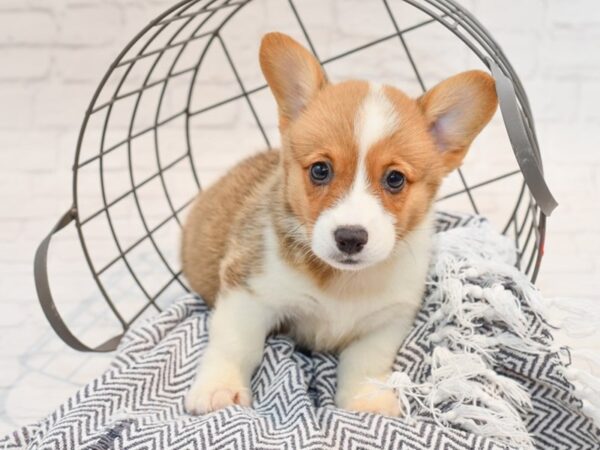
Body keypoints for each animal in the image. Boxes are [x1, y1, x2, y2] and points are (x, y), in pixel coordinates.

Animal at [182, 33, 496, 416]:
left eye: (394, 179)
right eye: (321, 170)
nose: (350, 238)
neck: (343, 282)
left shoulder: (387, 320)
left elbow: (366, 363)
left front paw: (367, 400)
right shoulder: (248, 292)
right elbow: (235, 343)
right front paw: (219, 389)